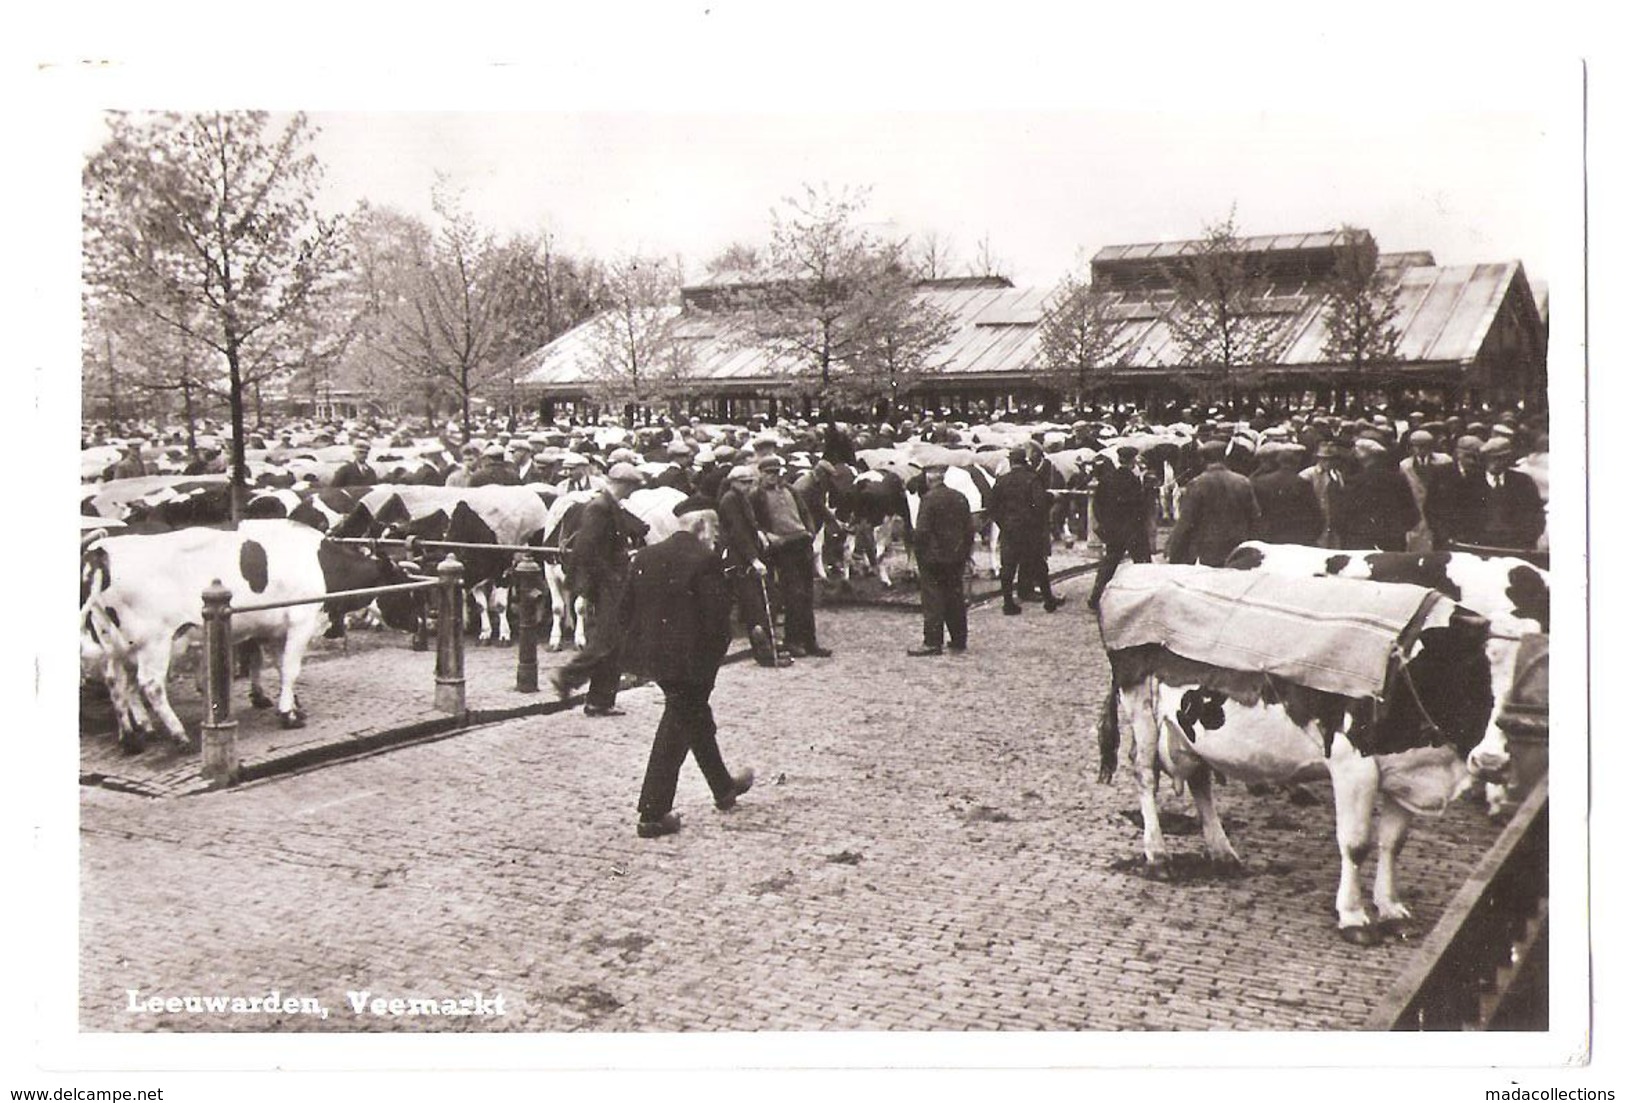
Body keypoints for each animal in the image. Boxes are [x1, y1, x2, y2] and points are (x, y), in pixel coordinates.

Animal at [82, 519, 419, 750]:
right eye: (403, 587)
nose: (418, 623)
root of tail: (102, 550)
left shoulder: (275, 629)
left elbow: (279, 668)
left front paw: (290, 705)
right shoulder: (300, 621)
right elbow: (291, 669)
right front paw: (289, 715)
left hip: (117, 640)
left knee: (117, 683)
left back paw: (133, 735)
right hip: (154, 641)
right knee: (149, 685)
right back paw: (178, 736)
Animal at [1098, 565, 1501, 942]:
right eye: (1473, 676)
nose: (1493, 762)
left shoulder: (1406, 773)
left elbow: (1393, 843)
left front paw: (1391, 908)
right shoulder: (1353, 765)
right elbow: (1356, 844)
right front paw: (1353, 917)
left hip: (1190, 730)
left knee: (1199, 779)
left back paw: (1223, 852)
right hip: (1139, 704)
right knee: (1145, 774)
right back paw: (1158, 855)